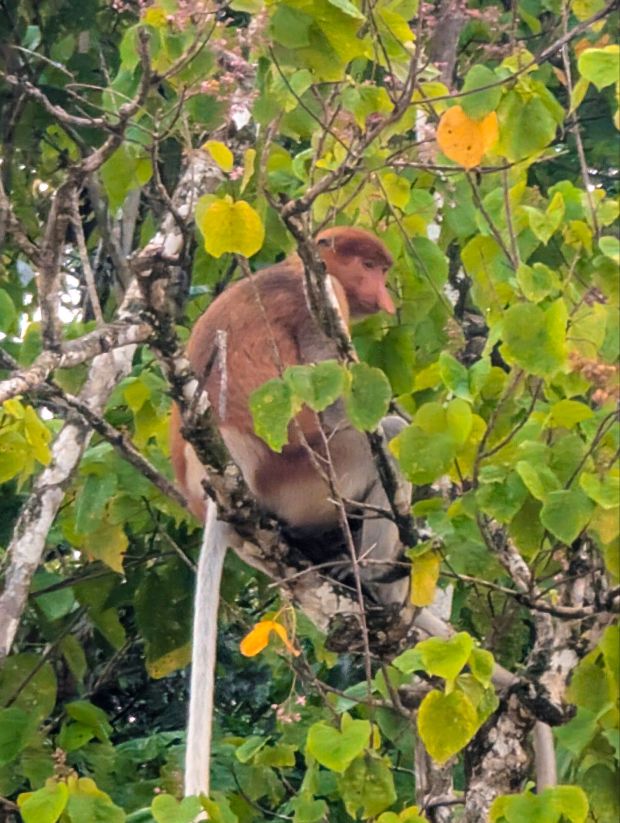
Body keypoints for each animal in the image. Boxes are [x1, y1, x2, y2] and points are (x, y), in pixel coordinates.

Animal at [170, 226, 409, 798]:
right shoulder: (323, 301)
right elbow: (337, 403)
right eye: (369, 267)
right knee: (383, 444)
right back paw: (374, 583)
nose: (386, 295)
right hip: (304, 480)